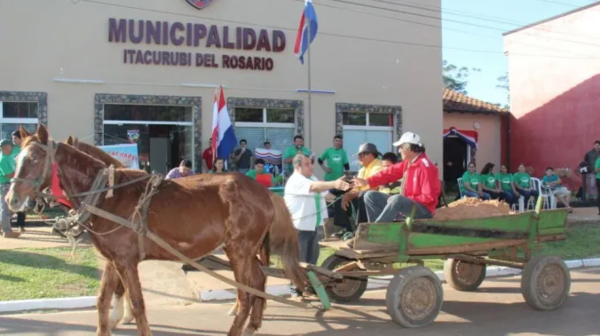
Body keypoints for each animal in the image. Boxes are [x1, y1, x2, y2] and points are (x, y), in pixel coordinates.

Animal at [9, 125, 308, 336]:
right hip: (243, 251)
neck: (106, 196)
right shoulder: (112, 260)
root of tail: (266, 192)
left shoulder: (126, 261)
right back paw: (252, 325)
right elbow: (102, 300)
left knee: (245, 295)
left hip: (239, 251)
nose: (11, 199)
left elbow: (138, 302)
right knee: (258, 281)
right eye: (17, 158)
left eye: (34, 159)